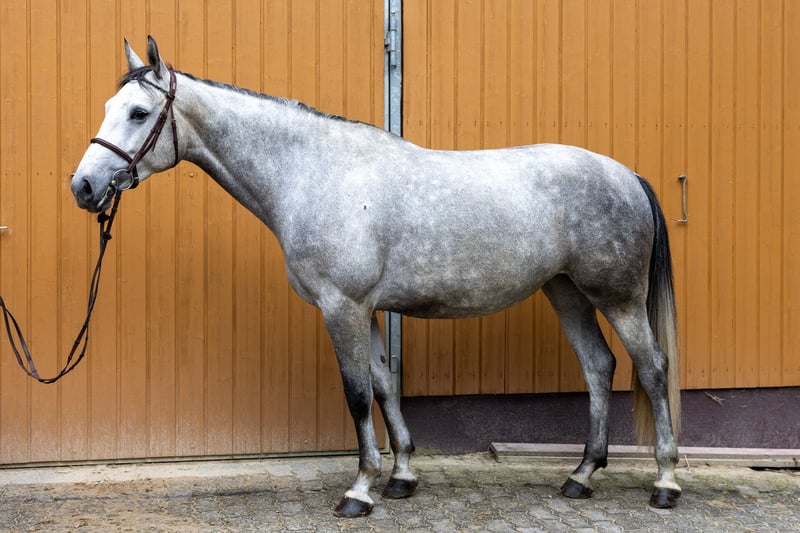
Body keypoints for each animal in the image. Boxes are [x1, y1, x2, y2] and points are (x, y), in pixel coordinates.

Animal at [72, 37, 682, 517]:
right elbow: (384, 384)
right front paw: (402, 476)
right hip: (568, 292)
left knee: (652, 369)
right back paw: (581, 476)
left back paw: (666, 482)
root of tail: (627, 174)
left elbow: (358, 393)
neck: (314, 173)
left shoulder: (342, 306)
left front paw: (360, 490)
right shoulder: (363, 310)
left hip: (620, 299)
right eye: (107, 106)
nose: (83, 186)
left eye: (138, 113)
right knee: (598, 368)